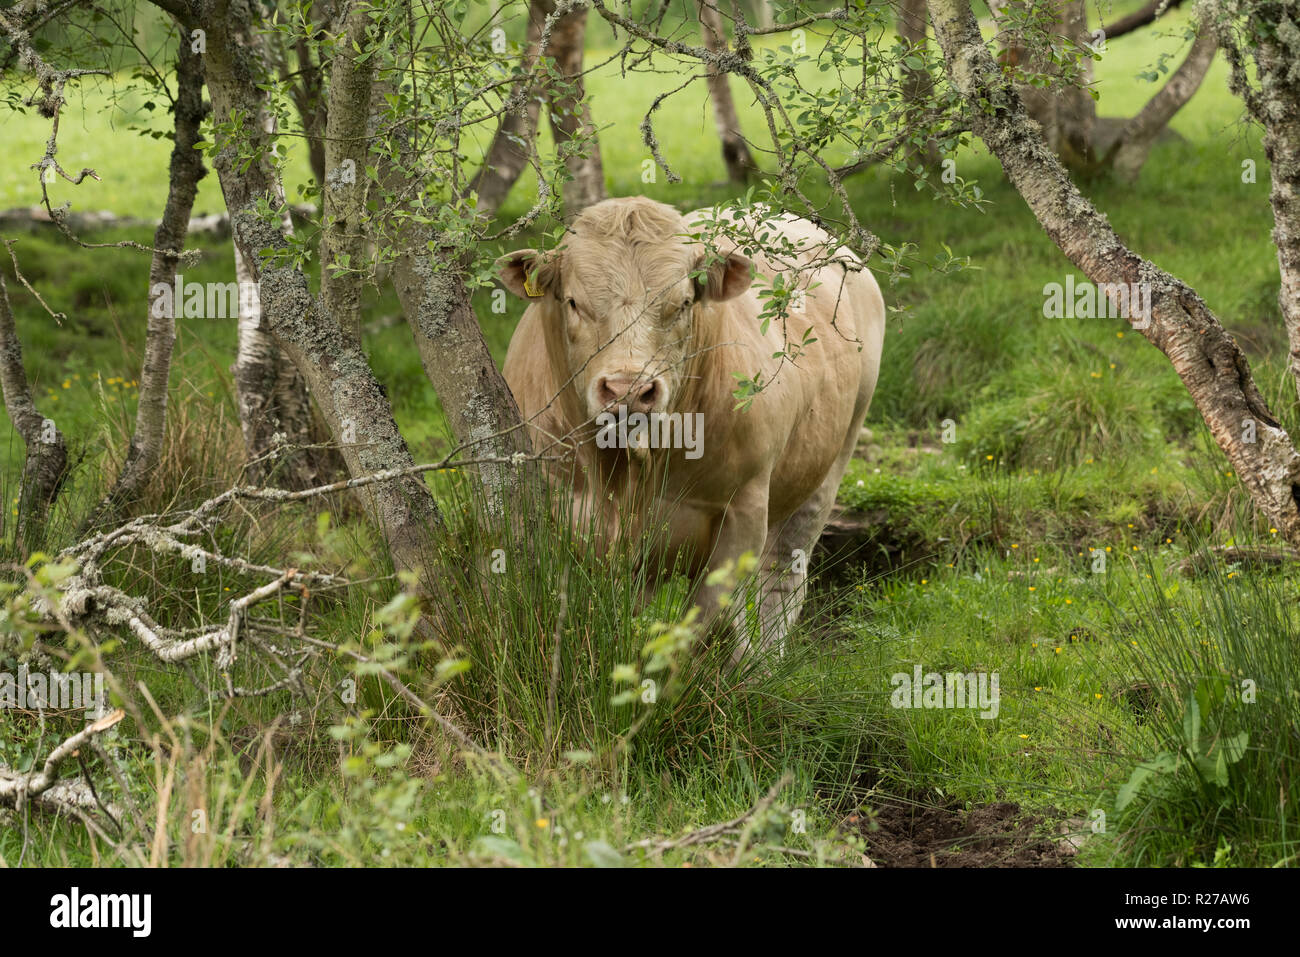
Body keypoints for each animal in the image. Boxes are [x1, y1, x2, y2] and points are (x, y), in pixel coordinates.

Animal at [496, 195, 883, 657]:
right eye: (573, 302)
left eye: (682, 303)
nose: (628, 390)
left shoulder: (744, 508)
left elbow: (701, 624)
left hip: (828, 470)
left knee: (782, 578)